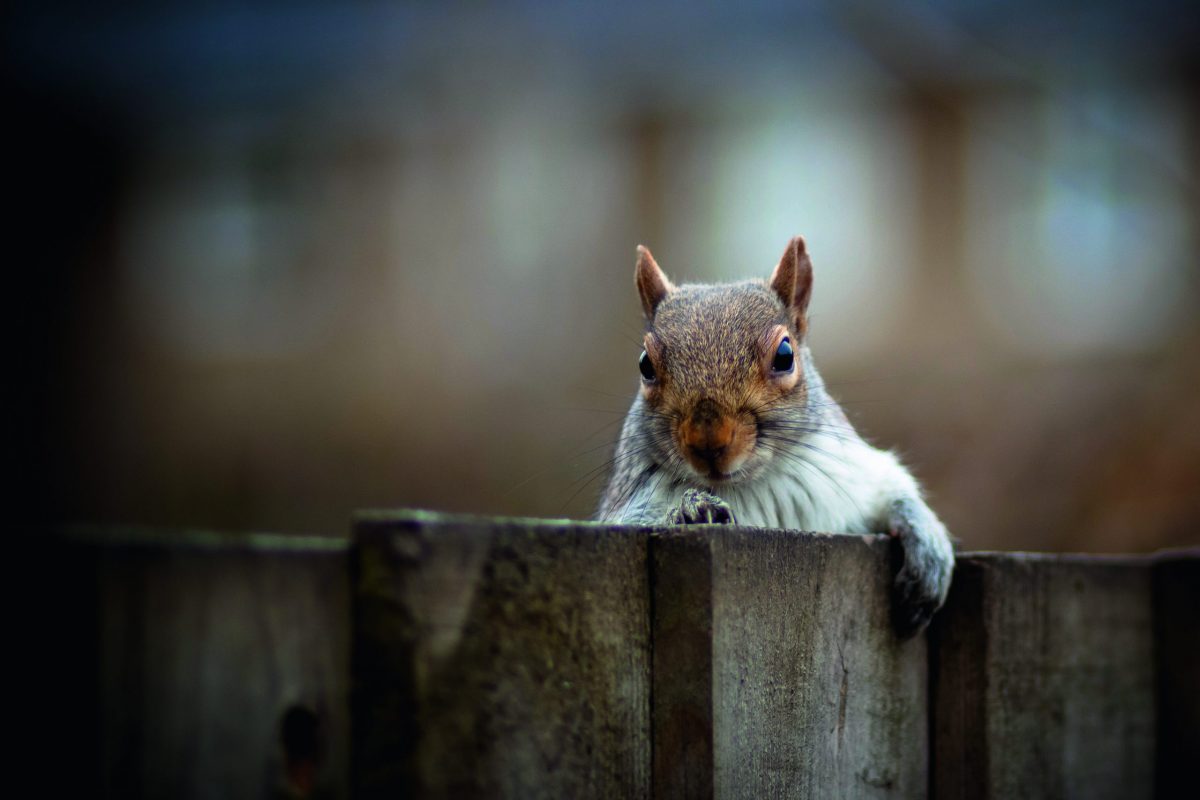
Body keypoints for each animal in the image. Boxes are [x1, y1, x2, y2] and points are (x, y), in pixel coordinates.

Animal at [596, 236, 954, 634]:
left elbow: (890, 491)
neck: (749, 484)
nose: (708, 441)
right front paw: (690, 509)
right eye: (645, 365)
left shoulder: (850, 477)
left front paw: (927, 543)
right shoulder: (625, 508)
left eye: (785, 355)